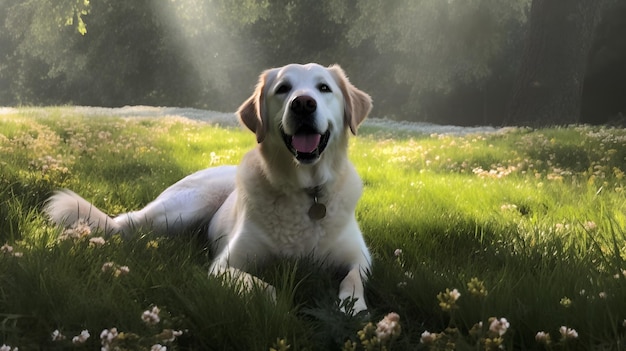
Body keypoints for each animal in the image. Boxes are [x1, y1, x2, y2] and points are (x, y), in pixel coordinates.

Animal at [47, 62, 376, 314]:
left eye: (324, 88)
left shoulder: (360, 257)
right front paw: (281, 304)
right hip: (180, 208)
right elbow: (266, 288)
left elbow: (353, 280)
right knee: (124, 224)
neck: (307, 191)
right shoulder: (224, 266)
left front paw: (353, 307)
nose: (303, 104)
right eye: (283, 88)